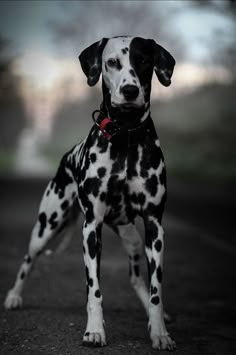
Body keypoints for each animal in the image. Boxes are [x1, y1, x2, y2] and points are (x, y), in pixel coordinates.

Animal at [4, 35, 176, 350]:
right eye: (112, 62)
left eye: (144, 60)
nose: (130, 90)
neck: (124, 137)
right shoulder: (91, 229)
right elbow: (94, 290)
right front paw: (94, 331)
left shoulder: (155, 227)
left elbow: (156, 288)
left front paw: (159, 332)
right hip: (46, 226)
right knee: (28, 260)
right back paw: (13, 296)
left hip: (133, 239)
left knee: (136, 278)